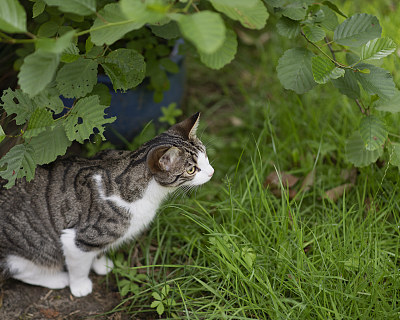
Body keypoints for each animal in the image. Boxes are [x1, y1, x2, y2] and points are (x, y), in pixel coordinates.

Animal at [0, 112, 214, 298]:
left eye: (206, 157)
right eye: (191, 169)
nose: (212, 172)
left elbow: (97, 251)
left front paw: (101, 263)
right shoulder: (77, 238)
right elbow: (79, 267)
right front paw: (80, 286)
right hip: (28, 248)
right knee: (22, 270)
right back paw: (57, 278)